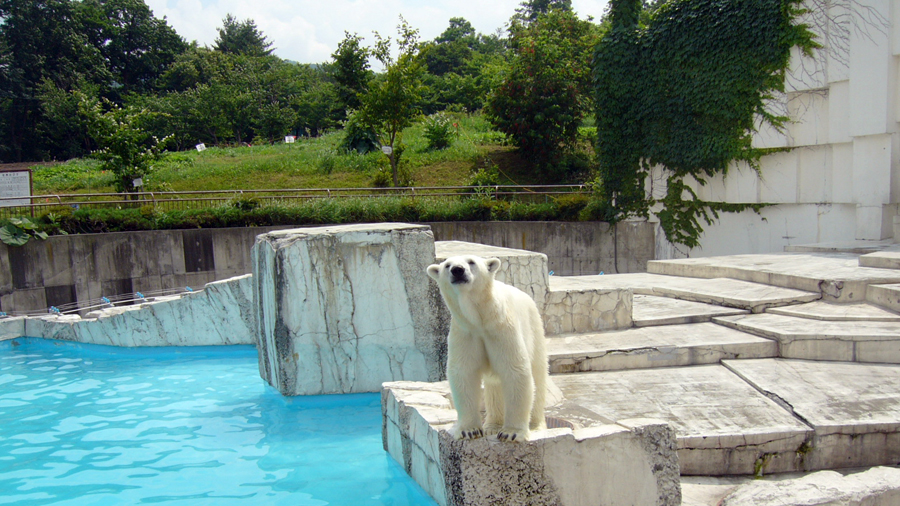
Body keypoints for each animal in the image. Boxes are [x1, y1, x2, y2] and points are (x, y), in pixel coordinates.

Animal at [428, 255, 548, 440]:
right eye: (447, 265)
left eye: (471, 261)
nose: (457, 270)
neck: (481, 318)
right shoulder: (466, 332)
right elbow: (464, 373)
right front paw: (469, 430)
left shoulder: (502, 329)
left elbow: (515, 371)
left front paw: (511, 433)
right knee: (494, 385)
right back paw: (492, 426)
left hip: (535, 329)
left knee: (538, 375)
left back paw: (536, 425)